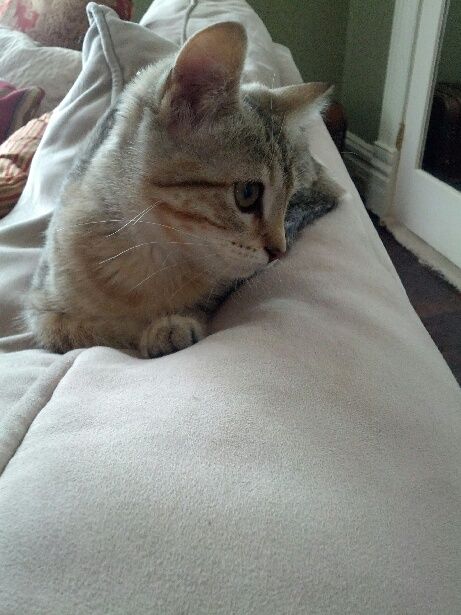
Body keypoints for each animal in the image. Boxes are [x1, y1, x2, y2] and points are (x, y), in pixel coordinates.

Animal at [26, 21, 338, 358]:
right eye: (247, 194)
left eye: (289, 200)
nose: (279, 252)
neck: (154, 259)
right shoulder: (41, 311)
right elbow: (87, 332)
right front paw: (142, 331)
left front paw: (172, 325)